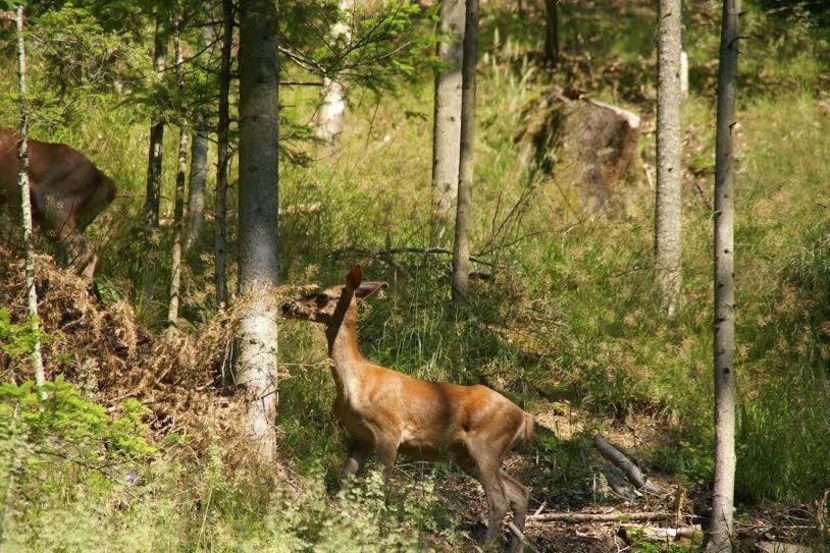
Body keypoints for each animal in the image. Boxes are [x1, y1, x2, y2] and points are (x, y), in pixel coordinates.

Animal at [282, 266, 536, 548]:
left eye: (323, 296)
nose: (287, 305)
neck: (356, 381)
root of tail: (524, 416)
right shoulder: (361, 437)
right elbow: (346, 477)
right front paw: (339, 517)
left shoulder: (388, 433)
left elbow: (380, 485)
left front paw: (375, 528)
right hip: (468, 455)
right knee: (520, 491)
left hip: (486, 445)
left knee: (500, 499)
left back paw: (485, 545)